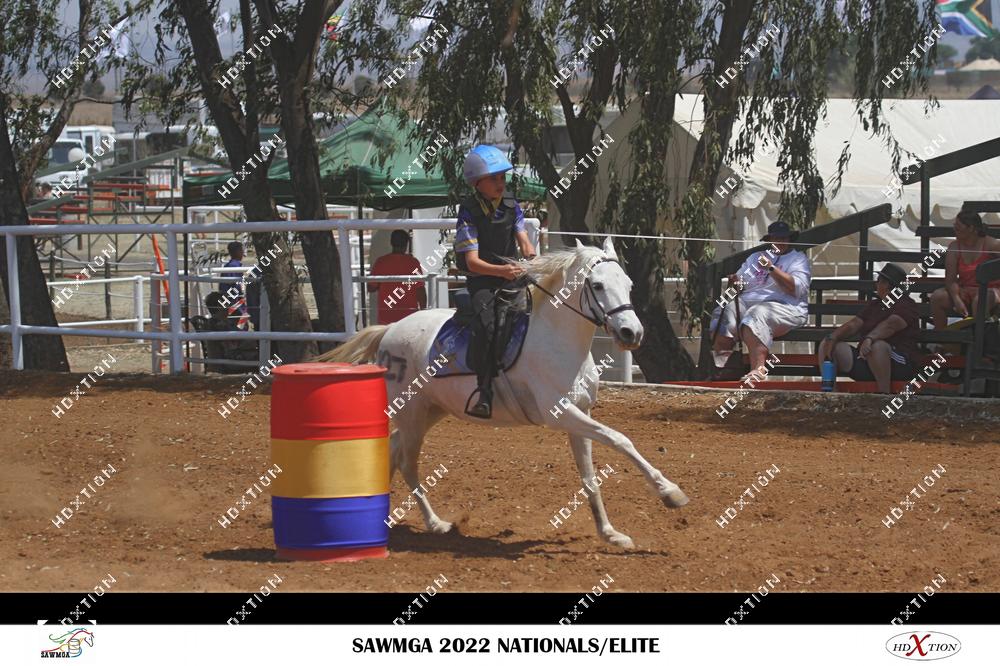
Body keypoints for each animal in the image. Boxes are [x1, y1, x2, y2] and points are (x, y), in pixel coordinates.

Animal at [318, 237, 688, 548]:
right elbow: (620, 439)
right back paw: (435, 523)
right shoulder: (561, 414)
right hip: (411, 413)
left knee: (394, 452)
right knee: (407, 462)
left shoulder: (579, 415)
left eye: (628, 284)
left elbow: (590, 477)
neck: (558, 341)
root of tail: (390, 329)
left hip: (428, 412)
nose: (631, 332)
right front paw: (670, 492)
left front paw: (610, 533)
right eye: (597, 285)